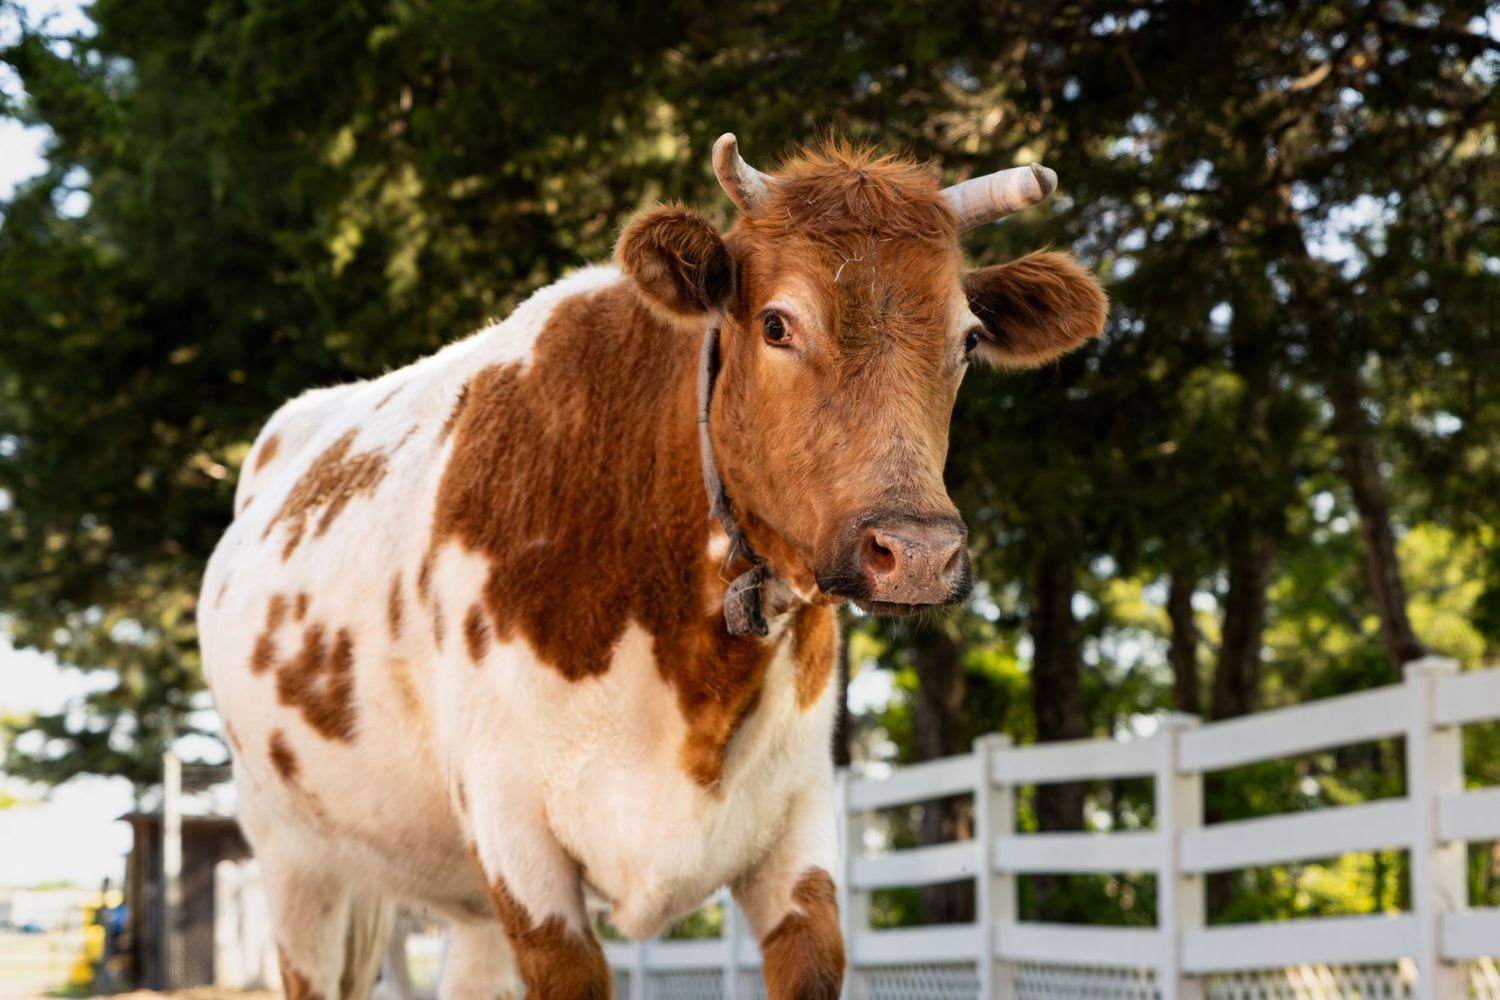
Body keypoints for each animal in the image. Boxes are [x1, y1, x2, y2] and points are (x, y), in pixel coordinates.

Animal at [200, 134, 1106, 1000]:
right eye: (777, 324)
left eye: (969, 339)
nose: (916, 553)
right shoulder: (517, 840)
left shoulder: (799, 828)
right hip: (295, 859)